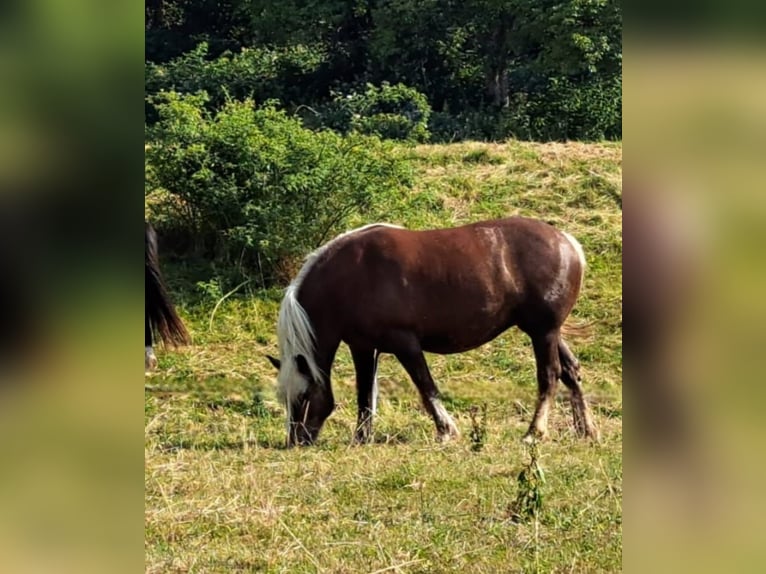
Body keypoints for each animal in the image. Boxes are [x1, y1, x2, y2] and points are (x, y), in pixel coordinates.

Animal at [267, 217, 599, 446]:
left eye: (304, 395)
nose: (297, 441)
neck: (351, 275)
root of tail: (567, 242)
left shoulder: (405, 344)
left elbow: (426, 387)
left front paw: (446, 430)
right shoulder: (362, 347)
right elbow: (364, 394)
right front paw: (362, 437)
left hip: (543, 333)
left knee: (549, 376)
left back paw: (534, 432)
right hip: (548, 332)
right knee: (571, 371)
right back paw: (586, 430)